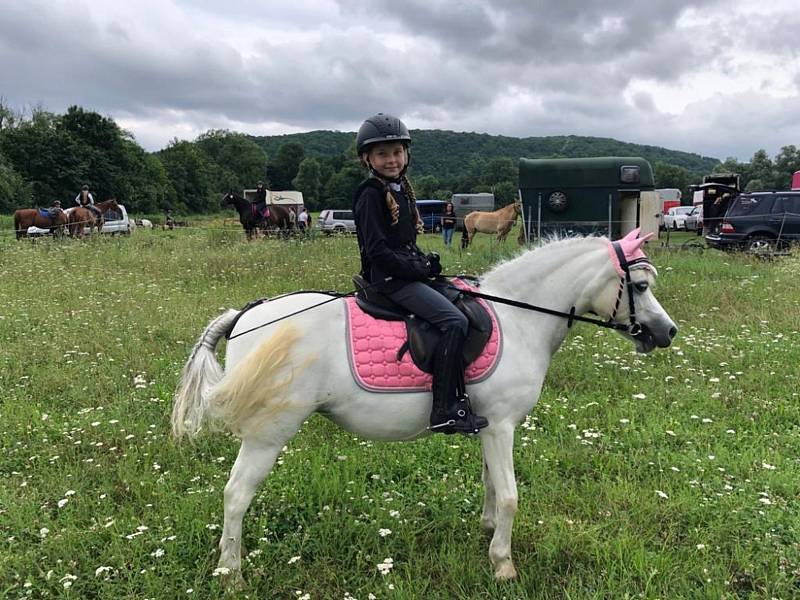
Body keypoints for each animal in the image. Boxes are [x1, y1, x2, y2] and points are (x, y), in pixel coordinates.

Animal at [173, 229, 676, 580]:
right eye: (639, 285)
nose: (667, 333)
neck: (518, 317)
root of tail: (246, 314)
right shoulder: (503, 426)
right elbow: (510, 495)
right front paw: (503, 564)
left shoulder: (488, 425)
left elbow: (491, 484)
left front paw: (487, 531)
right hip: (269, 432)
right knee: (236, 495)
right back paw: (231, 572)